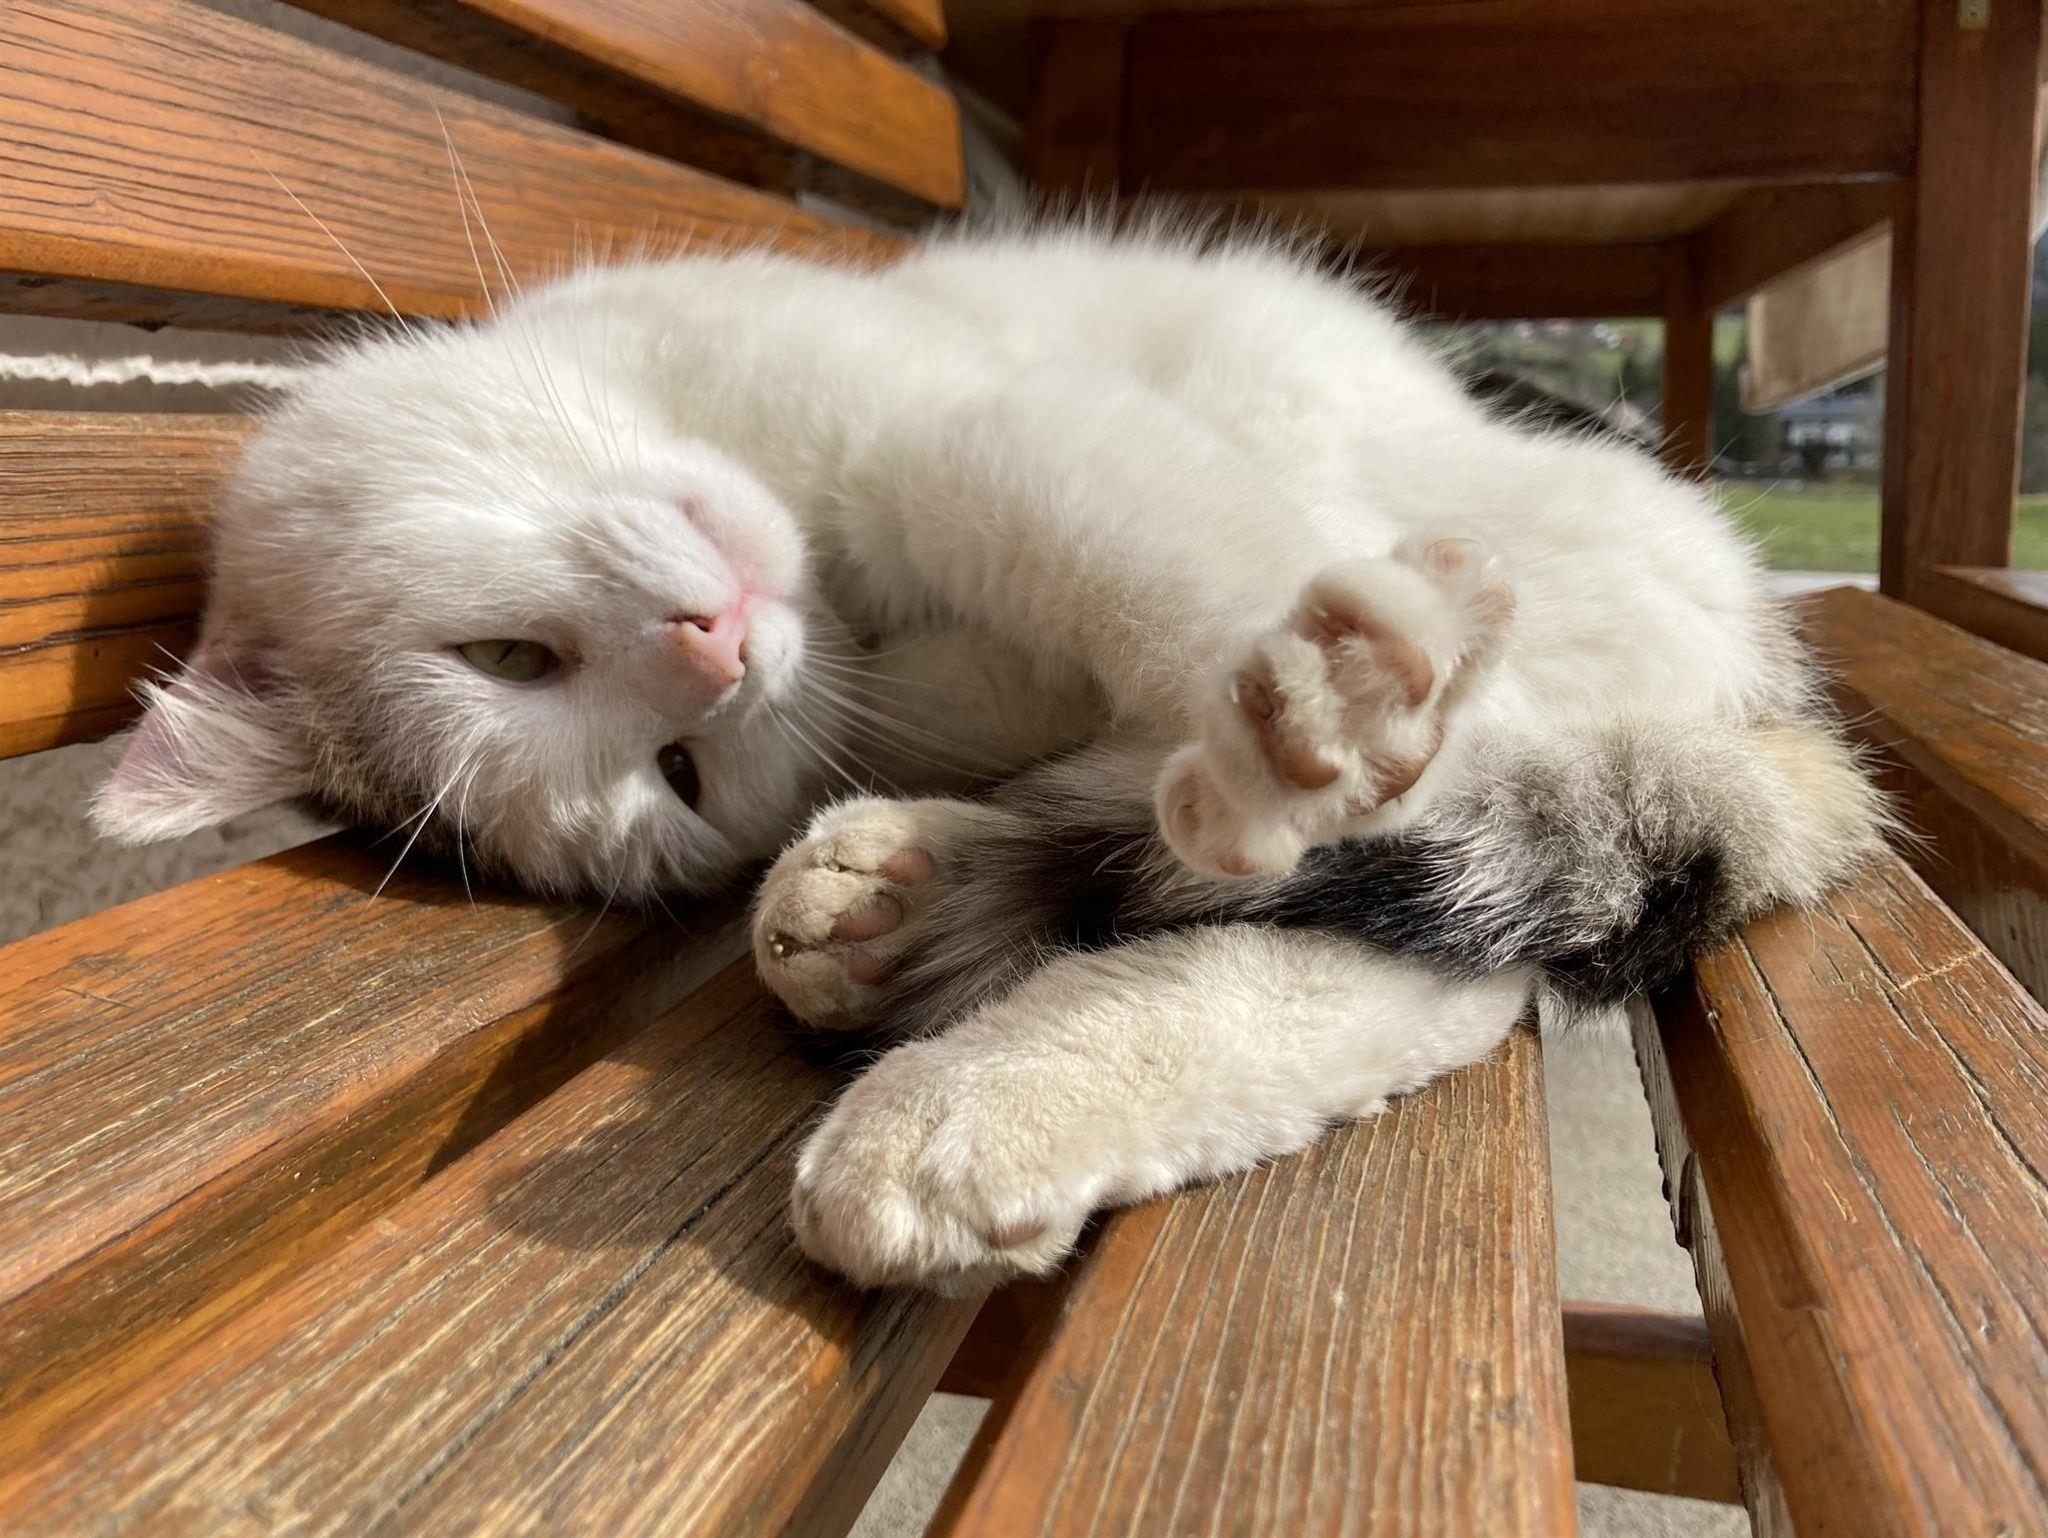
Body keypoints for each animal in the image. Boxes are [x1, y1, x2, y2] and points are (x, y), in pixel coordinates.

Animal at [94, 223, 1883, 1291]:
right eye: (680, 771)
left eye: (503, 657)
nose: (719, 648)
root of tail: (1764, 650)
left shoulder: (974, 429)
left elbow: (1167, 567)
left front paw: (1305, 705)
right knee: (1437, 958)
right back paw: (909, 953)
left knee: (1471, 903)